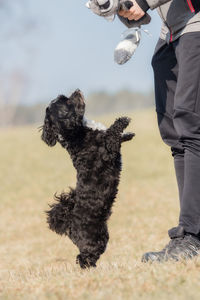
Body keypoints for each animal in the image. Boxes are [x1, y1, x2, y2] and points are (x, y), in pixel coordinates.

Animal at [41, 89, 134, 270]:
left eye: (64, 97)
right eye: (66, 101)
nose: (76, 90)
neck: (77, 133)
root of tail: (69, 223)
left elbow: (116, 135)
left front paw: (128, 134)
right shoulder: (108, 150)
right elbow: (112, 133)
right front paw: (123, 121)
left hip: (102, 235)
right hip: (94, 241)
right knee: (84, 257)